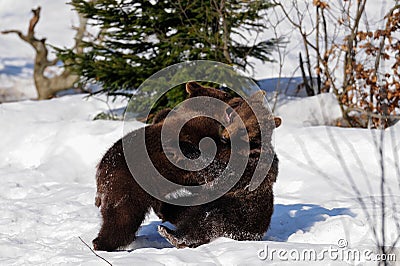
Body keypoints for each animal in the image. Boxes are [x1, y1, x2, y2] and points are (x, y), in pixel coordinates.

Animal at [93, 81, 231, 251]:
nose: (227, 89)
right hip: (127, 185)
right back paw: (102, 244)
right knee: (122, 218)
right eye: (224, 94)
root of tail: (100, 171)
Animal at [156, 92, 282, 249]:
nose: (224, 136)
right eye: (233, 116)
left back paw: (173, 235)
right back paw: (164, 210)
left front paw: (182, 146)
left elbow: (219, 171)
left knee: (206, 221)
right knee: (184, 207)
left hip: (235, 215)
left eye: (244, 129)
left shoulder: (247, 165)